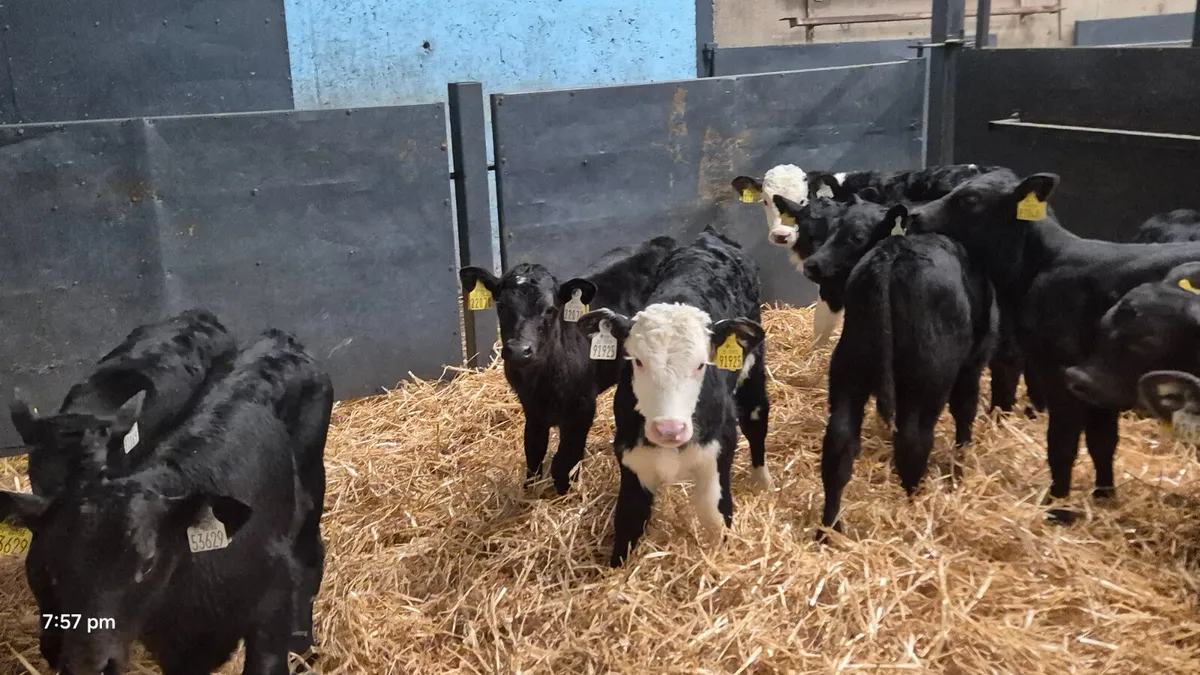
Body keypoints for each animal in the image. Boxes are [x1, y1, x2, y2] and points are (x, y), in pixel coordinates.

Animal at [0, 329, 331, 675]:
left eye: (147, 563)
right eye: (56, 564)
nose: (89, 666)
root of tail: (278, 338)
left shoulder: (273, 597)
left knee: (310, 553)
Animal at [459, 236, 677, 495]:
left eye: (550, 309)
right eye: (501, 305)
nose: (519, 350)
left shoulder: (582, 408)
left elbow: (564, 460)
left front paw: (565, 492)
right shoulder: (532, 409)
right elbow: (533, 450)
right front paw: (529, 491)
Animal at [578, 226, 769, 567]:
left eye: (701, 364)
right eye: (637, 361)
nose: (669, 429)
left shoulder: (718, 451)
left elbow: (715, 516)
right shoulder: (631, 456)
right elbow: (628, 519)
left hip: (753, 371)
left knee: (757, 418)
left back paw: (764, 482)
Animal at [786, 202, 997, 536]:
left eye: (854, 236)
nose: (812, 265)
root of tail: (891, 257)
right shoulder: (973, 362)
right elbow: (965, 412)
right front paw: (960, 467)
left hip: (849, 371)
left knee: (839, 445)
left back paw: (829, 530)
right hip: (925, 382)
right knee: (913, 441)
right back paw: (916, 503)